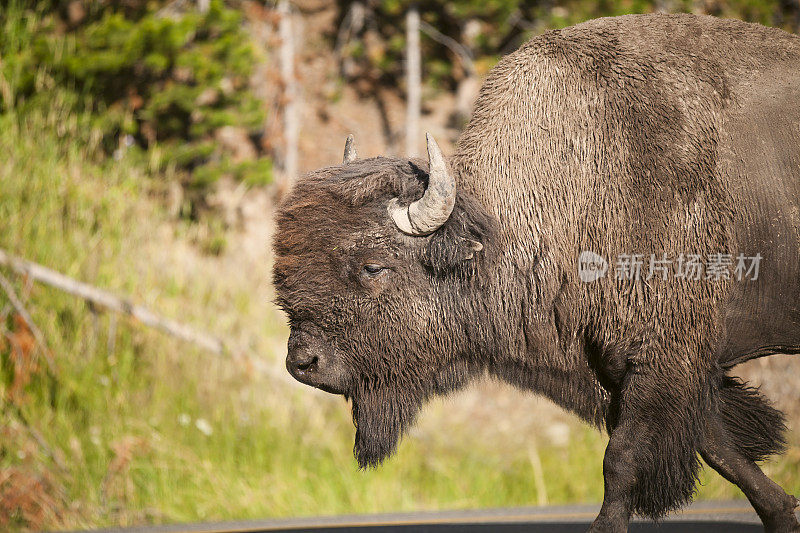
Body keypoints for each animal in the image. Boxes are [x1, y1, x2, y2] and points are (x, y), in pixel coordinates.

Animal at [270, 12, 800, 532]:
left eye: (373, 266)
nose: (302, 364)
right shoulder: (640, 369)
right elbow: (720, 449)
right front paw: (783, 513)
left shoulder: (662, 359)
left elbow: (623, 460)